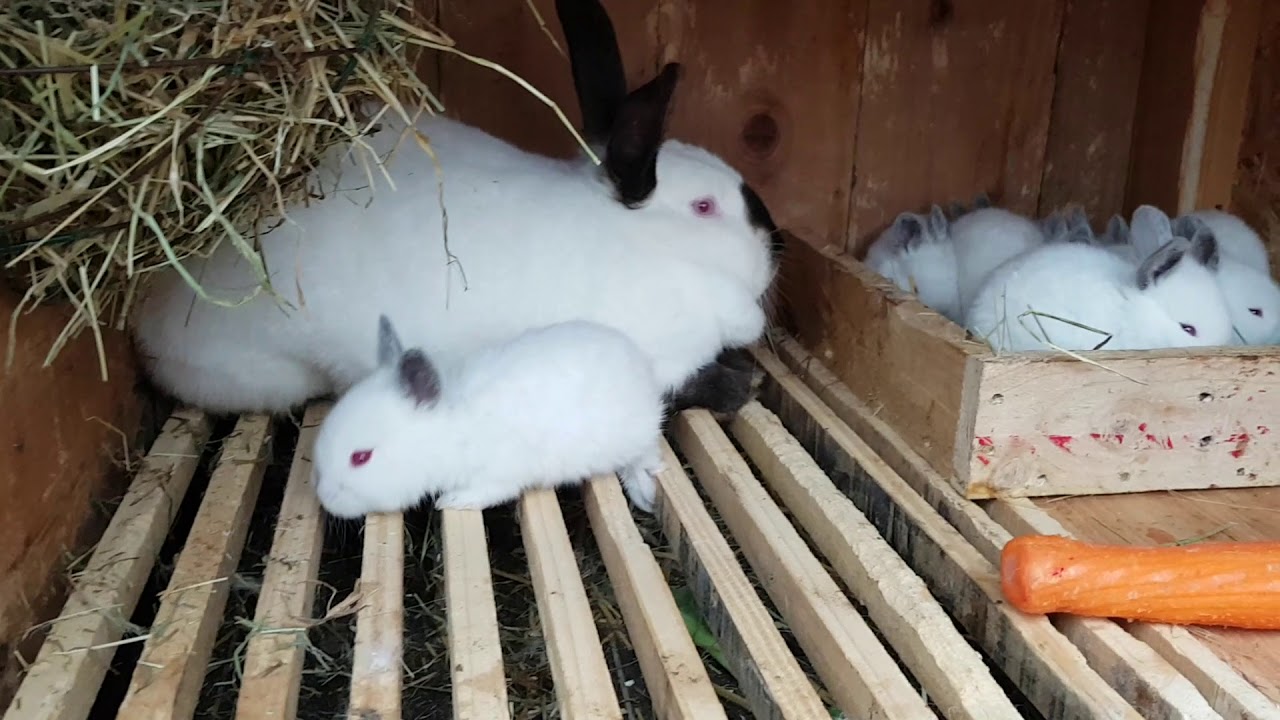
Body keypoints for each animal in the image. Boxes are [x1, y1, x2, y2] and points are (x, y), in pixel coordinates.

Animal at [311, 315, 666, 518]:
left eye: (361, 457)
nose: (325, 499)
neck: (450, 434)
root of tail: (639, 363)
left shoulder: (500, 473)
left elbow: (488, 492)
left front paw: (451, 501)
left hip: (630, 436)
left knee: (644, 456)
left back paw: (644, 493)